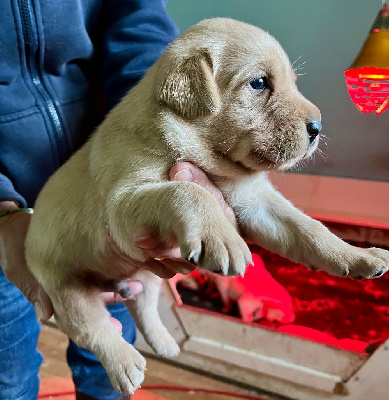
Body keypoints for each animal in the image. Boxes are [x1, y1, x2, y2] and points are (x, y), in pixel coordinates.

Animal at [25, 18, 388, 394]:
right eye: (259, 83)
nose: (317, 127)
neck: (212, 159)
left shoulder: (257, 204)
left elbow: (309, 229)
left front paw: (359, 257)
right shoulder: (123, 204)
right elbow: (187, 190)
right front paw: (223, 239)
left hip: (147, 275)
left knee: (143, 305)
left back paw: (165, 344)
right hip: (67, 290)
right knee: (94, 330)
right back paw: (125, 365)